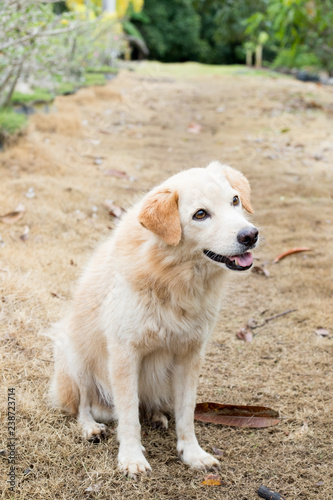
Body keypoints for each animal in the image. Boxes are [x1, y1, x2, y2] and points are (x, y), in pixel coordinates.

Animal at [50, 162, 256, 478]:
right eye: (200, 214)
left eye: (235, 200)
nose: (250, 235)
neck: (172, 276)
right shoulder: (124, 354)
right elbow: (128, 416)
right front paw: (131, 457)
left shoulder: (190, 356)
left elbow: (186, 413)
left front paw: (192, 453)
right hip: (76, 356)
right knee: (83, 405)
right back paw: (90, 427)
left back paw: (157, 415)